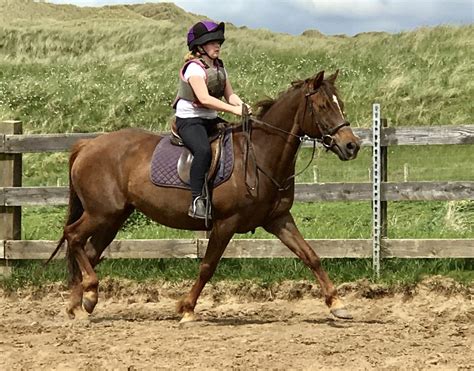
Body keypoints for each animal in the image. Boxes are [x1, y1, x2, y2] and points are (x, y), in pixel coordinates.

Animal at [47, 70, 360, 322]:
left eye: (340, 104)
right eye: (322, 106)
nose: (352, 146)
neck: (259, 155)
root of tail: (87, 145)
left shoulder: (278, 219)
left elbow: (311, 256)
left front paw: (337, 304)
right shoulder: (226, 223)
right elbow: (208, 266)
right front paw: (186, 309)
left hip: (113, 218)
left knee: (88, 250)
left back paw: (80, 303)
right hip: (102, 212)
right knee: (73, 236)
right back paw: (87, 294)